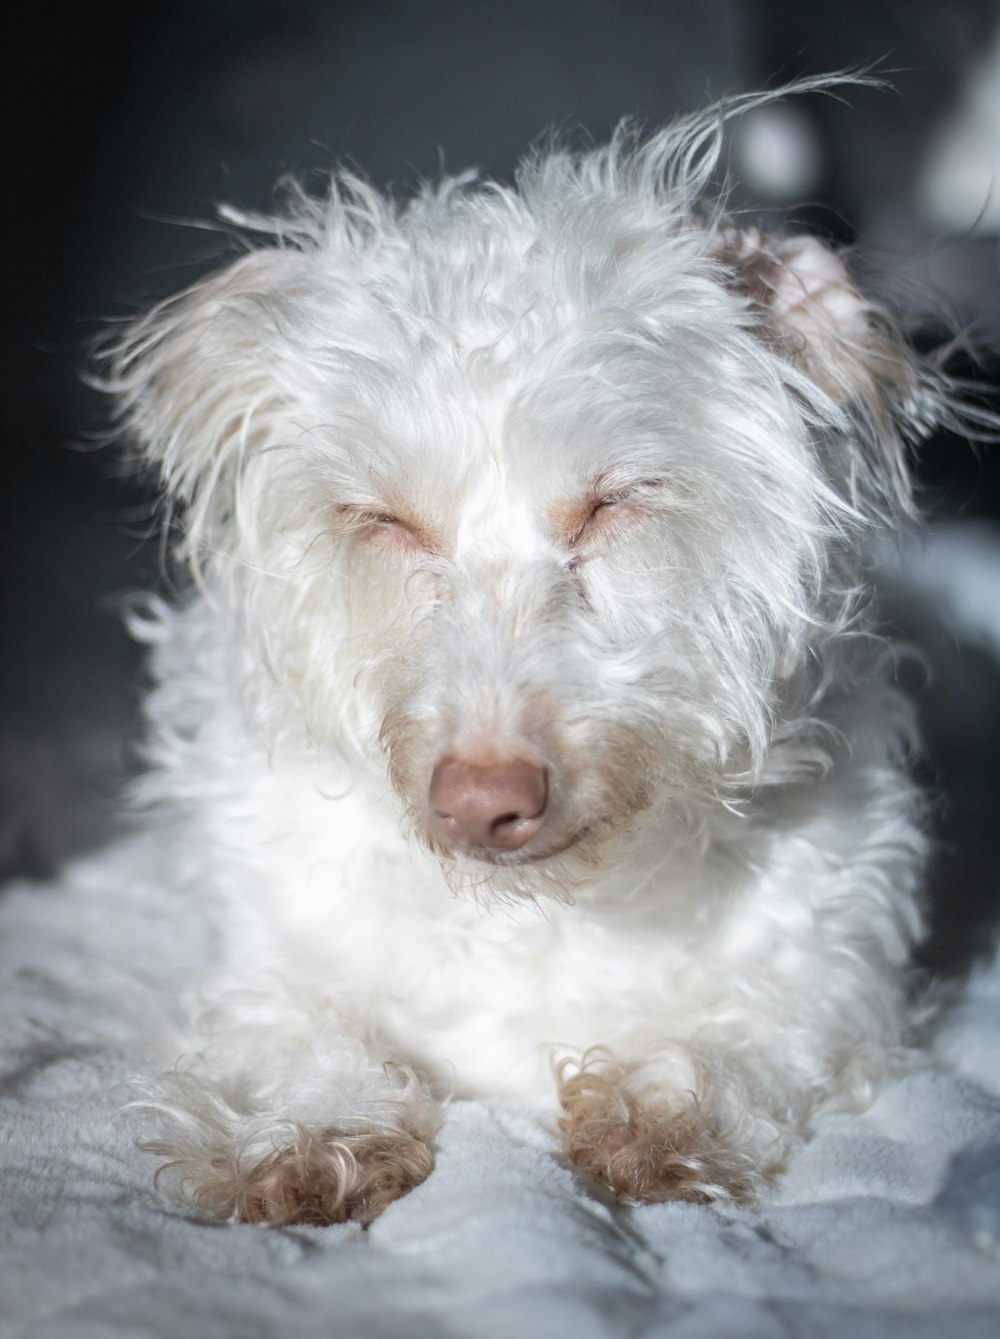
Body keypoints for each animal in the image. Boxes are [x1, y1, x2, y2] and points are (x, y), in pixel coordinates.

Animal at [103, 86, 953, 1226]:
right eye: (385, 521)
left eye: (616, 502)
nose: (483, 800)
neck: (538, 911)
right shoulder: (262, 956)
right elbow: (290, 1024)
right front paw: (309, 1126)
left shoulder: (836, 974)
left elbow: (762, 1029)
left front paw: (662, 1103)